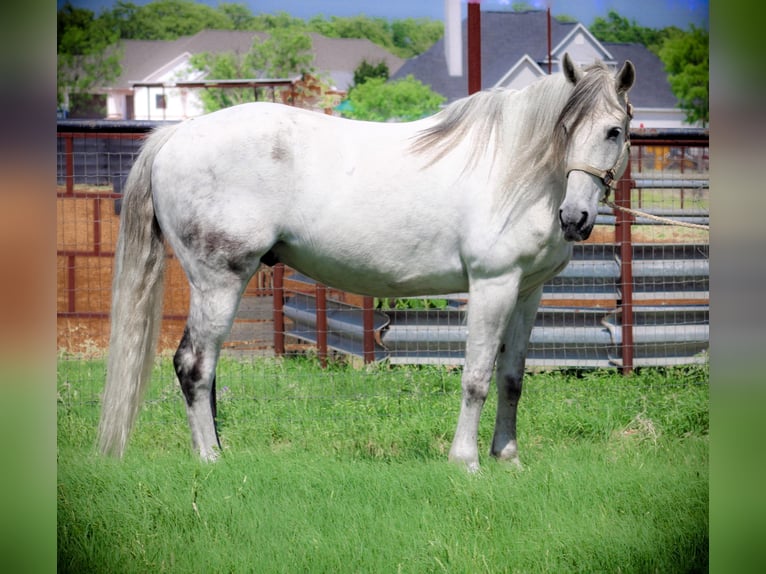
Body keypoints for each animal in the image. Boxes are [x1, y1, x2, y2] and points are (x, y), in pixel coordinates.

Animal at [100, 54, 636, 470]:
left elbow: (511, 378)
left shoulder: (528, 291)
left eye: (614, 131)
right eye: (565, 128)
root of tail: (177, 136)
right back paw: (211, 459)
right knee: (194, 365)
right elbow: (476, 378)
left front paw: (508, 458)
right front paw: (466, 462)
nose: (575, 218)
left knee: (205, 370)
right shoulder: (493, 285)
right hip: (219, 281)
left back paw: (217, 450)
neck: (517, 171)